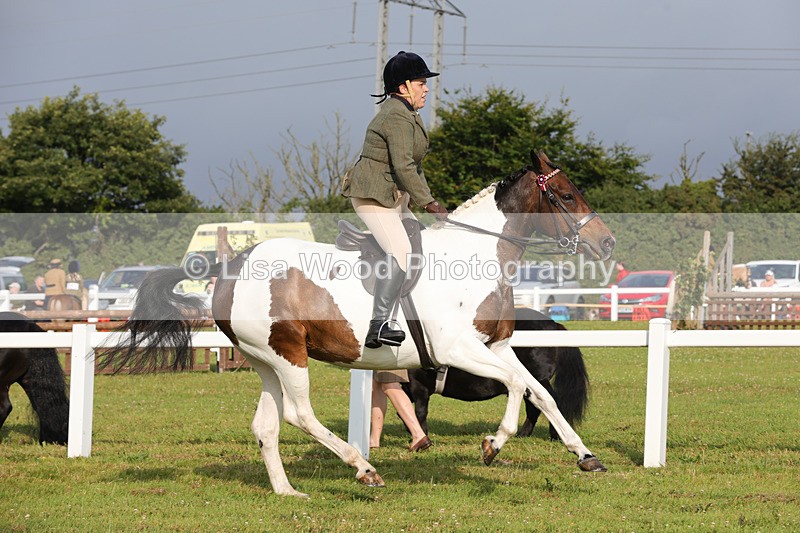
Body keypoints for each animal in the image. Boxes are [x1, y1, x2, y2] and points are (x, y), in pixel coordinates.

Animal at [402, 307, 589, 440]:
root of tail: (553, 324)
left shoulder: (419, 386)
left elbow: (419, 412)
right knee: (535, 407)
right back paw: (524, 434)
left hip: (539, 379)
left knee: (550, 402)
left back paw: (555, 435)